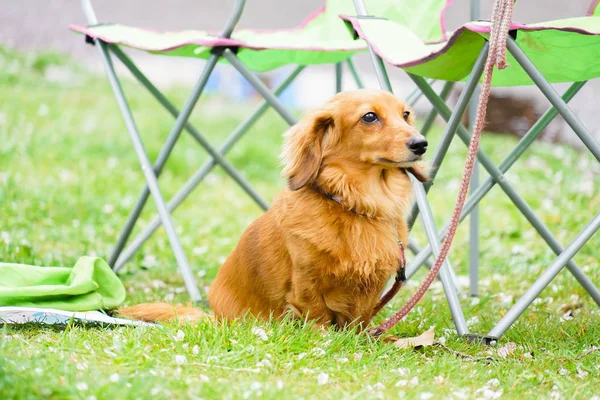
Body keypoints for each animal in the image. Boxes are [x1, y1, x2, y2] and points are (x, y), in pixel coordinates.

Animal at [118, 89, 426, 330]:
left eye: (406, 114)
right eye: (369, 117)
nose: (421, 144)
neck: (354, 204)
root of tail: (214, 318)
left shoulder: (370, 289)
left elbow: (359, 322)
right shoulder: (306, 281)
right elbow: (317, 316)